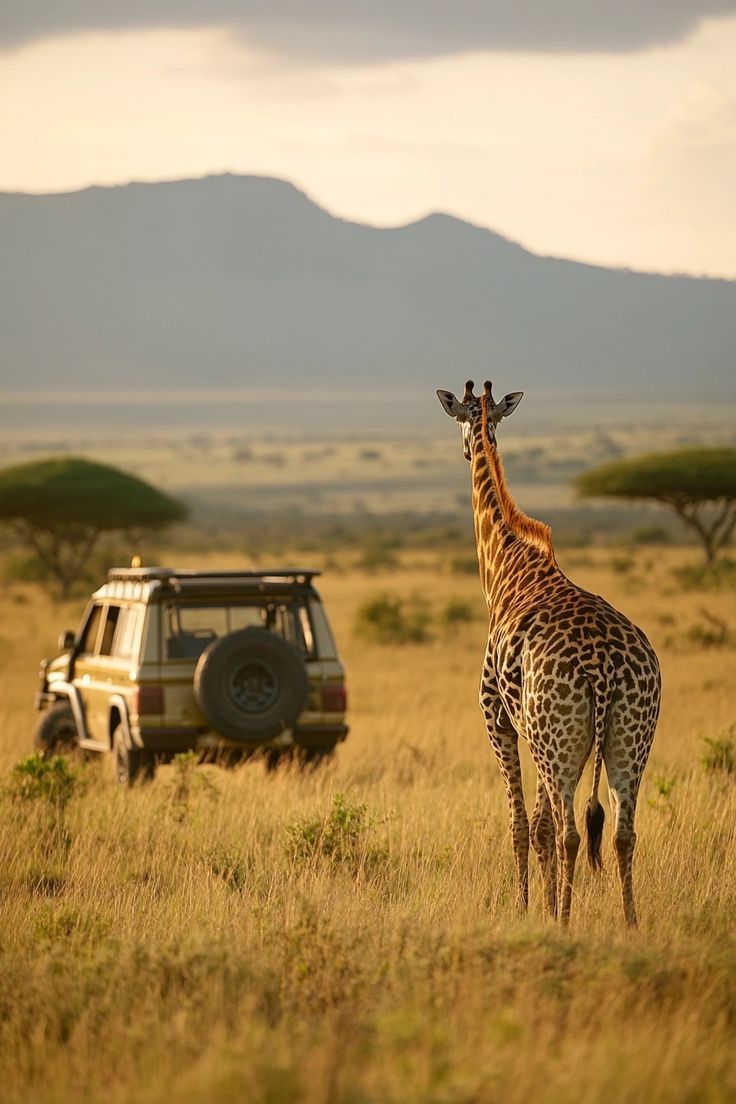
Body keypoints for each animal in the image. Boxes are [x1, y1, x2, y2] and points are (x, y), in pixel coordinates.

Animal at [436, 379, 662, 922]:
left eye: (461, 420)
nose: (466, 448)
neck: (506, 566)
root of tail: (605, 670)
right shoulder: (539, 730)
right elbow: (540, 826)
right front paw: (543, 902)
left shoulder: (496, 717)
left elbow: (522, 826)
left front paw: (526, 908)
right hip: (625, 738)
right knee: (622, 833)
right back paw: (630, 922)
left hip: (559, 740)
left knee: (572, 833)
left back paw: (563, 922)